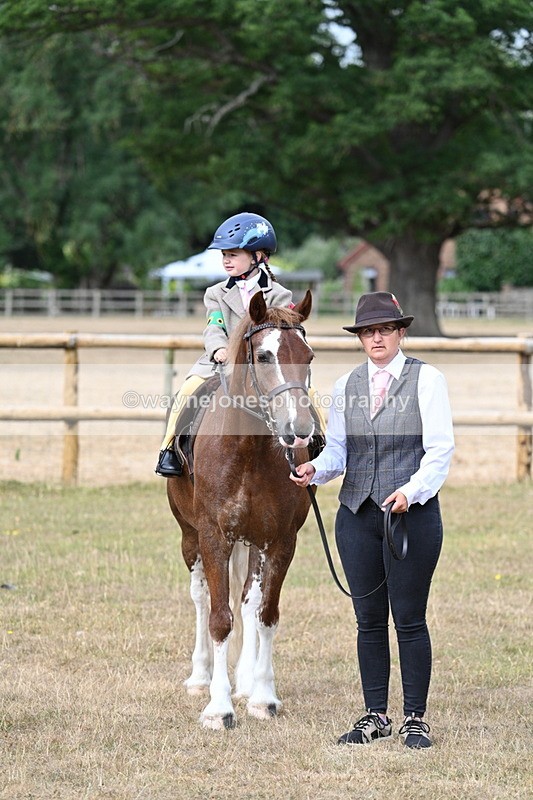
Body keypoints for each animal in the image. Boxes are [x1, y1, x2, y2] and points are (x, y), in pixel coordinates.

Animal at [167, 289, 317, 730]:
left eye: (309, 355)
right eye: (264, 356)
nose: (300, 430)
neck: (248, 451)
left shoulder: (280, 541)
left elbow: (266, 613)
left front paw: (262, 697)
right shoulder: (214, 537)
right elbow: (219, 618)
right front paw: (218, 707)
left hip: (254, 543)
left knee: (249, 603)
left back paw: (246, 682)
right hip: (191, 539)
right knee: (201, 598)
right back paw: (200, 678)